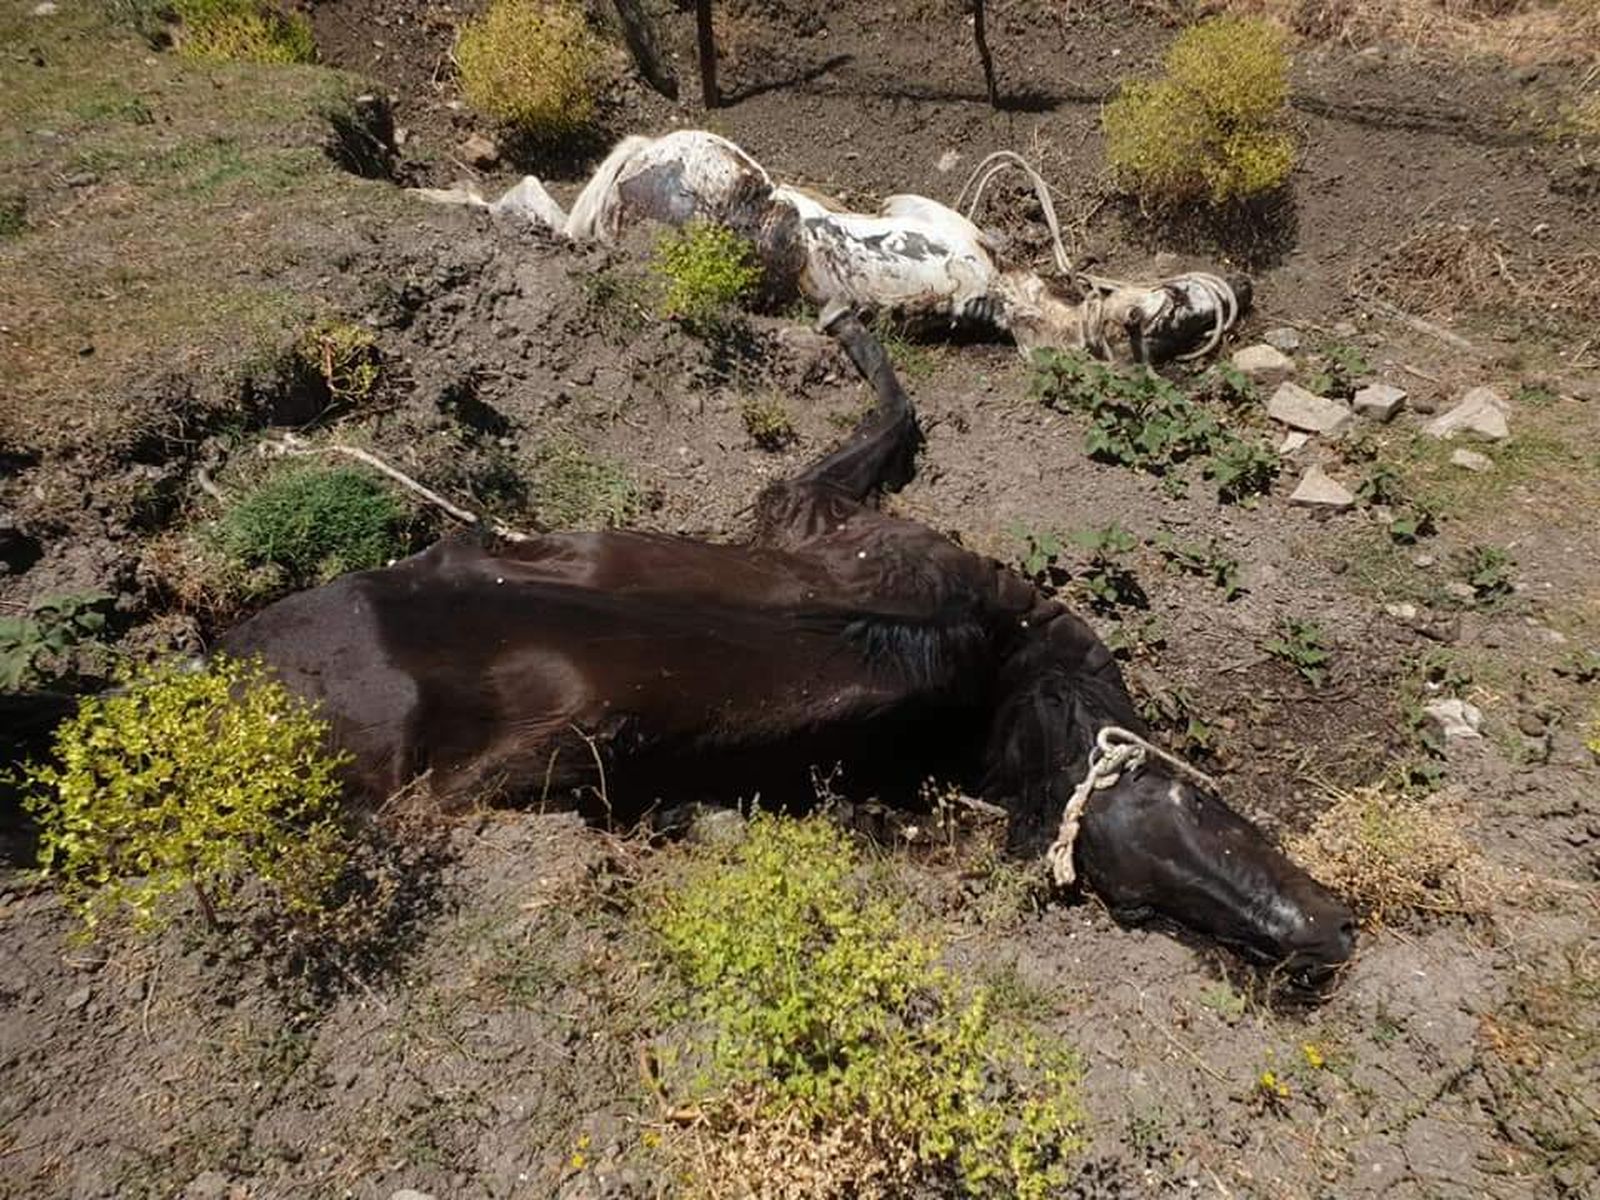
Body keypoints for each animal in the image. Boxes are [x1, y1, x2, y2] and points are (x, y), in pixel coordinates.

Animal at [217, 315, 1355, 983]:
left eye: (1202, 824)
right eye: (1144, 894)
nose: (1328, 941)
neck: (1005, 667)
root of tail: (225, 665)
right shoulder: (830, 517)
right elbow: (892, 407)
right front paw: (850, 322)